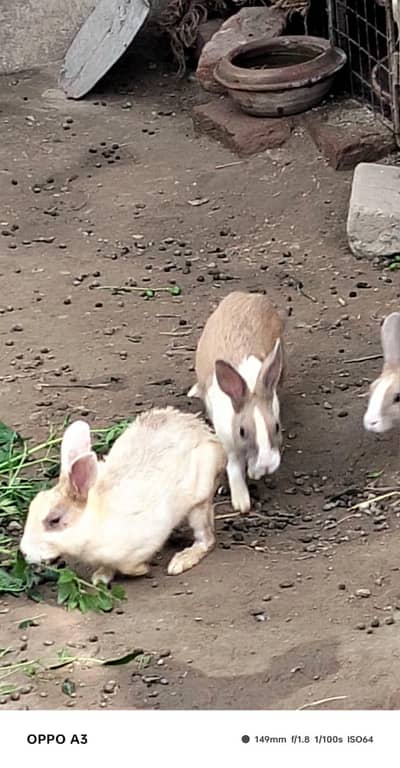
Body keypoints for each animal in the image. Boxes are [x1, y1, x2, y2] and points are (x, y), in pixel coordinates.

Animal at [20, 407, 226, 585]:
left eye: (54, 520)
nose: (24, 551)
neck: (93, 523)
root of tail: (205, 432)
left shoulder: (145, 540)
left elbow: (128, 566)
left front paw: (141, 570)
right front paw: (100, 578)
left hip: (199, 502)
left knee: (206, 539)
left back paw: (181, 561)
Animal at [188, 291, 284, 513]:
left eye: (276, 426)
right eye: (241, 431)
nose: (266, 465)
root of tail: (244, 295)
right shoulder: (229, 444)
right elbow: (233, 468)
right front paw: (242, 502)